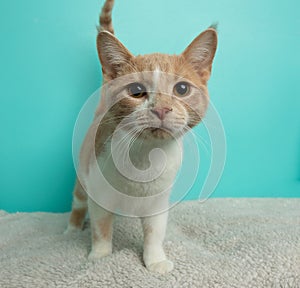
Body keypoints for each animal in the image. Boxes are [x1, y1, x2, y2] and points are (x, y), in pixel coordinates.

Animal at [65, 0, 217, 274]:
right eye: (136, 91)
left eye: (181, 89)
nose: (161, 109)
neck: (145, 157)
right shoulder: (99, 193)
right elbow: (101, 229)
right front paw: (100, 257)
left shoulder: (159, 202)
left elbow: (155, 232)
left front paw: (155, 260)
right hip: (83, 176)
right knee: (78, 202)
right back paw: (72, 229)